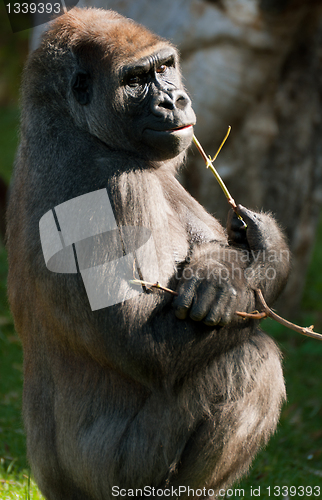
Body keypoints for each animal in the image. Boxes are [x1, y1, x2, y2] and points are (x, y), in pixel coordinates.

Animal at [6, 6, 290, 500]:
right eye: (136, 79)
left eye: (165, 67)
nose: (174, 100)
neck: (65, 122)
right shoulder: (116, 182)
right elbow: (144, 343)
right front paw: (242, 275)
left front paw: (252, 249)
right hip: (112, 480)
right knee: (249, 362)